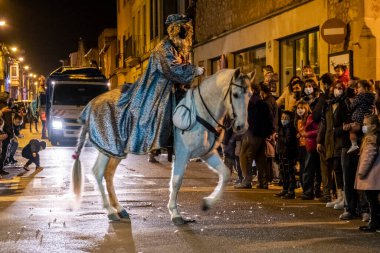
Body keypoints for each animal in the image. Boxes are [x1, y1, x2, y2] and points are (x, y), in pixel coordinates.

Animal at [71, 68, 252, 224]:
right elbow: (176, 181)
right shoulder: (183, 153)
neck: (200, 111)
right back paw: (110, 211)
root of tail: (91, 105)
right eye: (235, 94)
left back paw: (120, 209)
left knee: (108, 174)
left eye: (250, 94)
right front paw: (175, 213)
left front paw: (207, 203)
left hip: (116, 151)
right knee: (98, 172)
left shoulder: (207, 153)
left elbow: (226, 174)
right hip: (108, 147)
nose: (241, 127)